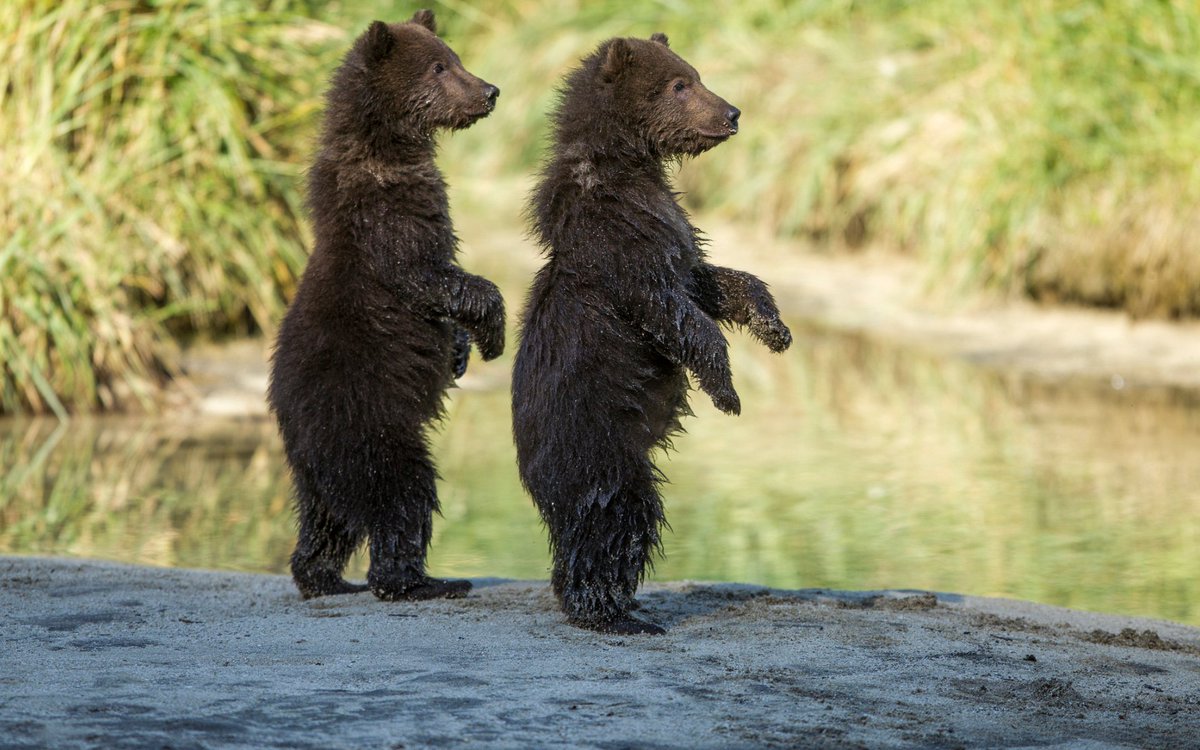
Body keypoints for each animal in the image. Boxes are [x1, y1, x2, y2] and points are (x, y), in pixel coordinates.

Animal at [267, 10, 505, 602]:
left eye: (455, 57)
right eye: (440, 66)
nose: (489, 90)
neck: (388, 149)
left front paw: (461, 351)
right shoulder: (383, 219)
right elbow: (427, 276)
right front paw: (491, 331)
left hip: (320, 465)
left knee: (326, 520)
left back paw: (323, 577)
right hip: (369, 425)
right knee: (403, 496)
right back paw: (423, 580)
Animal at [512, 34, 792, 634]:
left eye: (696, 75)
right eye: (680, 84)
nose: (733, 113)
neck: (627, 169)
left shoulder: (672, 239)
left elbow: (710, 281)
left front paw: (775, 328)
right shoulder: (621, 248)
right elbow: (676, 315)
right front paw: (728, 393)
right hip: (597, 445)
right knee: (616, 520)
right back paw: (610, 612)